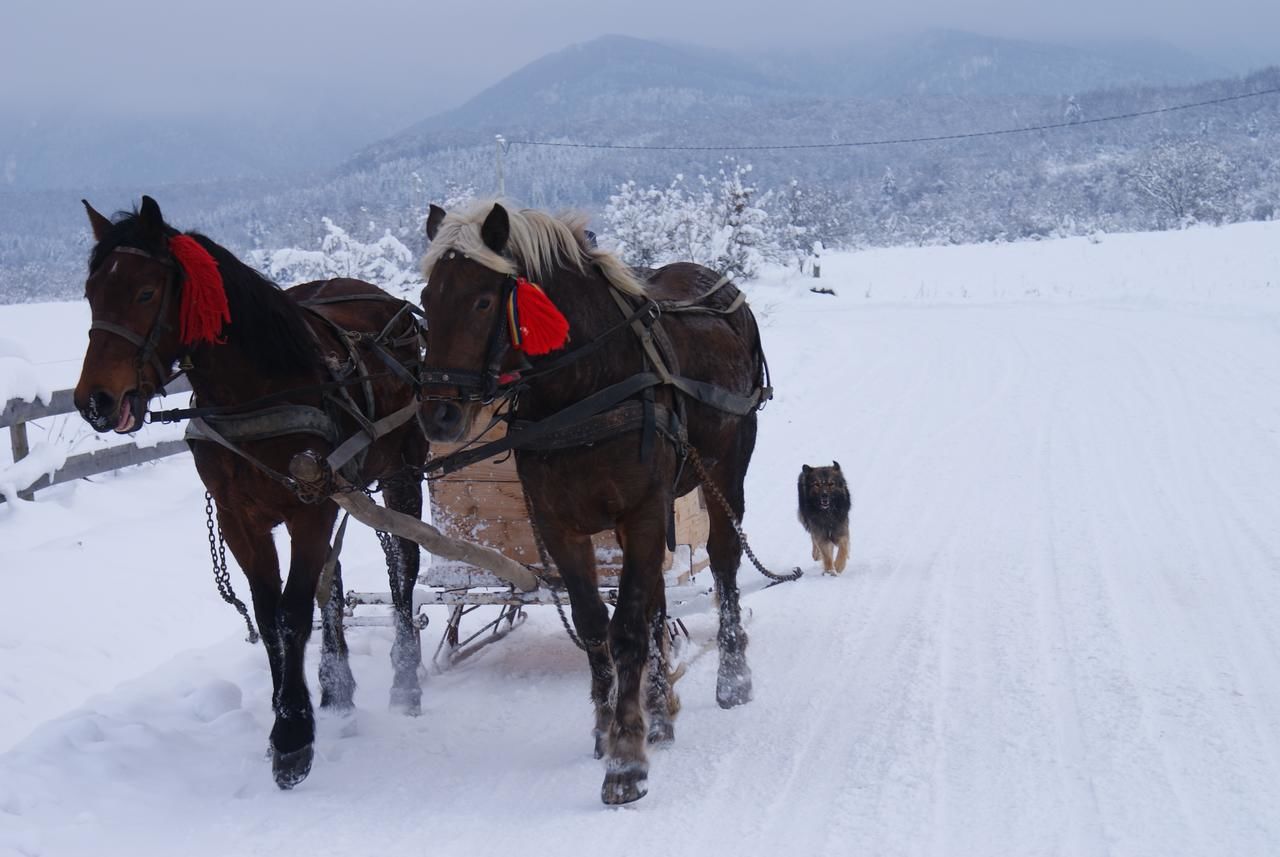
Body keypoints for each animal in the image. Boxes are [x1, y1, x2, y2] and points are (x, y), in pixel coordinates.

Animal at [72, 196, 427, 793]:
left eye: (145, 292)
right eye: (91, 292)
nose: (94, 400)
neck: (255, 393)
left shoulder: (311, 506)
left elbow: (292, 614)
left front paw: (293, 739)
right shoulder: (241, 517)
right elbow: (268, 617)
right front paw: (291, 715)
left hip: (403, 470)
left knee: (403, 565)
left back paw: (406, 678)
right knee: (333, 584)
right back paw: (337, 686)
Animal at [419, 199, 768, 808]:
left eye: (483, 300)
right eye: (425, 298)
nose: (438, 415)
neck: (582, 388)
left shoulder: (644, 510)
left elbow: (626, 628)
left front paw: (626, 760)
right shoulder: (561, 525)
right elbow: (592, 624)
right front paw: (610, 725)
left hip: (725, 465)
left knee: (723, 561)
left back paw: (731, 676)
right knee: (657, 600)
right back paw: (659, 710)